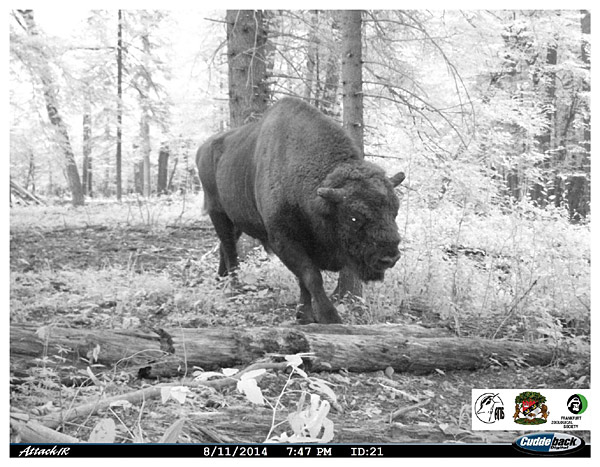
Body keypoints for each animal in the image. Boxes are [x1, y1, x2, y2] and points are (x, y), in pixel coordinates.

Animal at [197, 97, 405, 324]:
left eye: (395, 211)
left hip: (236, 220)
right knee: (230, 249)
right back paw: (234, 289)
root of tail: (202, 149)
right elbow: (311, 277)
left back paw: (220, 281)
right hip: (217, 212)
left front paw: (304, 315)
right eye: (354, 217)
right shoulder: (284, 240)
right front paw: (329, 317)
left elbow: (303, 281)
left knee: (225, 246)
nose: (389, 258)